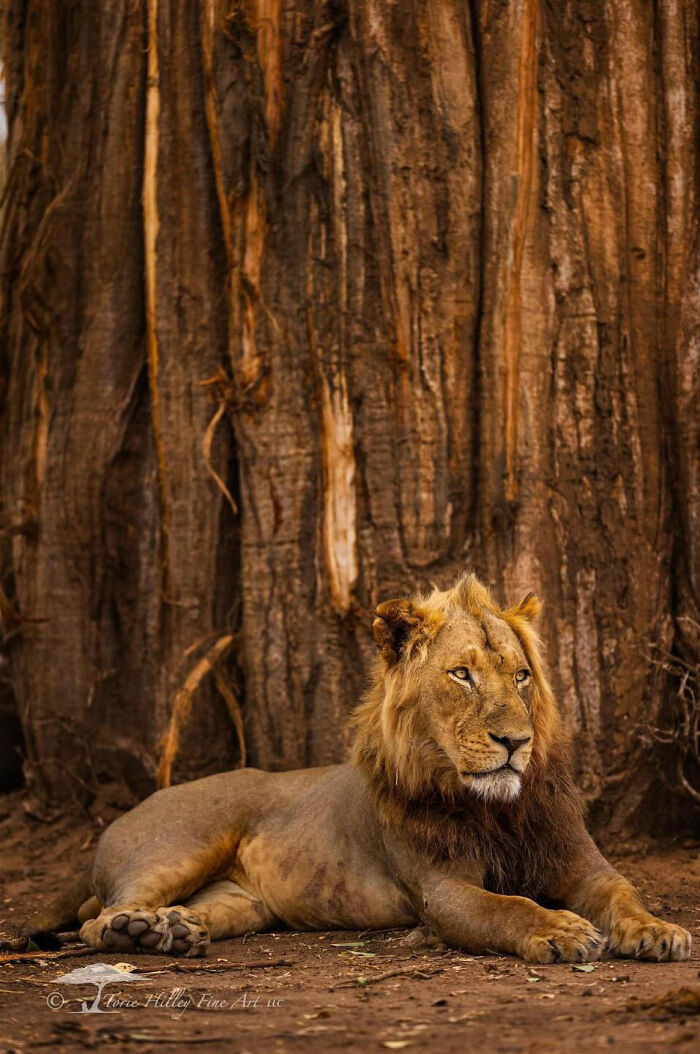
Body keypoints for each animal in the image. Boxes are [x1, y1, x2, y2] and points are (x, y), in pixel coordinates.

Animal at [29, 573, 691, 963]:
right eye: (462, 674)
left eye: (522, 675)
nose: (515, 741)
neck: (494, 810)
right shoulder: (441, 890)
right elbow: (508, 907)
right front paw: (562, 930)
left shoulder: (582, 864)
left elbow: (625, 891)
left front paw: (659, 931)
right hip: (184, 843)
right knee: (94, 919)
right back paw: (135, 932)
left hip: (240, 903)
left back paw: (172, 930)